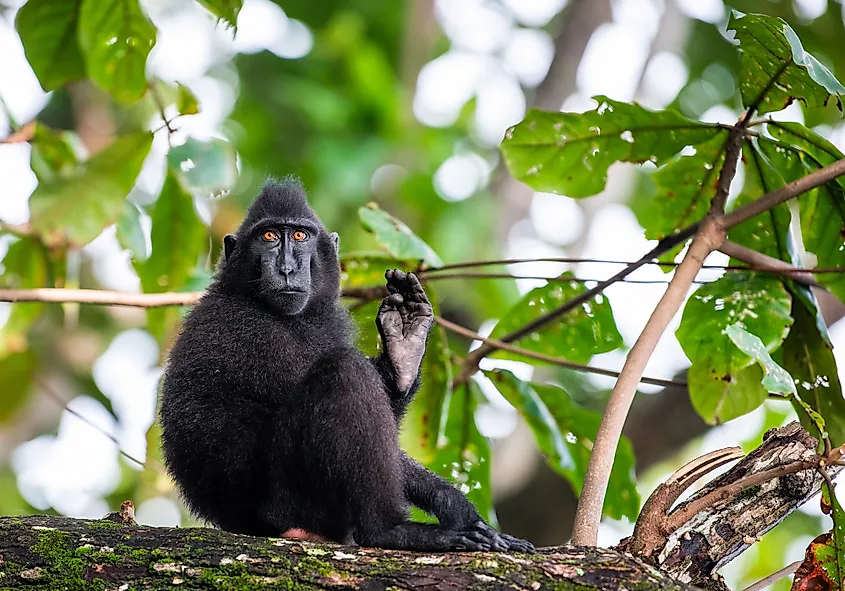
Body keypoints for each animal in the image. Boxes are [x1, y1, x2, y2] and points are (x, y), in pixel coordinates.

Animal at [158, 180, 532, 556]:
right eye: (268, 236)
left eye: (299, 236)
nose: (287, 269)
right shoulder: (249, 330)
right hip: (290, 500)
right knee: (345, 372)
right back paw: (389, 530)